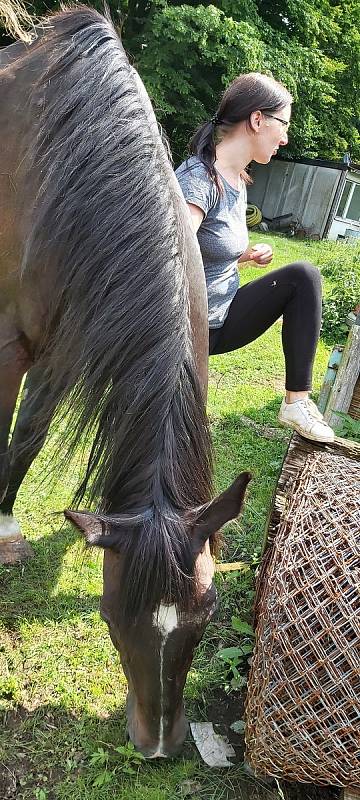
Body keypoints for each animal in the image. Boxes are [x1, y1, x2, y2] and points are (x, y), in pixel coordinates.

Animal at [0, 3, 250, 760]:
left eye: (209, 610)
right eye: (110, 616)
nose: (159, 746)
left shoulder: (62, 349)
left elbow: (27, 435)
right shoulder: (15, 342)